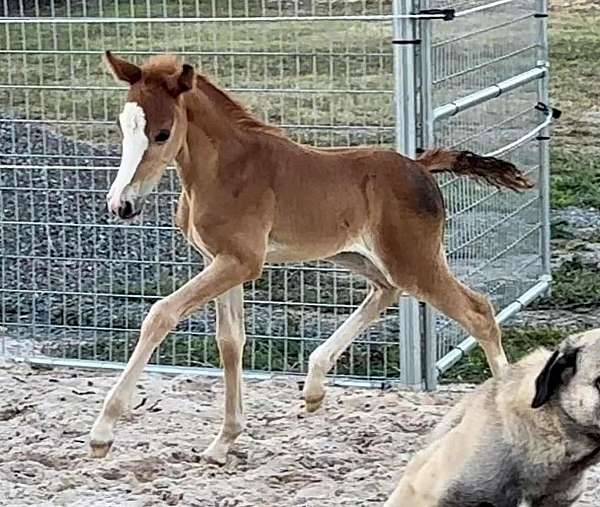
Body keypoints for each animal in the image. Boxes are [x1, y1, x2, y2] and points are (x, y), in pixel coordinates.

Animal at [89, 52, 528, 464]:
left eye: (162, 133)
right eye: (122, 126)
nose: (121, 205)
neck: (225, 170)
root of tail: (420, 165)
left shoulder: (241, 262)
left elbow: (160, 314)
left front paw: (103, 432)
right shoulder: (221, 261)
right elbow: (230, 341)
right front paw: (222, 442)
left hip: (413, 260)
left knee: (479, 312)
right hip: (358, 256)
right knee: (385, 291)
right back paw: (315, 386)